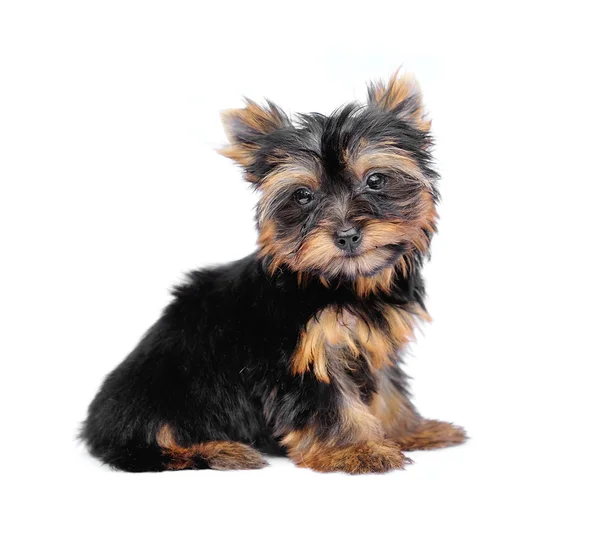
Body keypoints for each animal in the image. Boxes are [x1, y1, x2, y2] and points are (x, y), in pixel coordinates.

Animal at [82, 71, 466, 474]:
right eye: (303, 196)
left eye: (375, 180)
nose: (347, 235)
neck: (339, 282)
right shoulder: (299, 356)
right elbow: (330, 405)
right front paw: (357, 450)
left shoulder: (372, 341)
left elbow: (388, 388)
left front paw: (410, 430)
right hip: (163, 391)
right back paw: (219, 450)